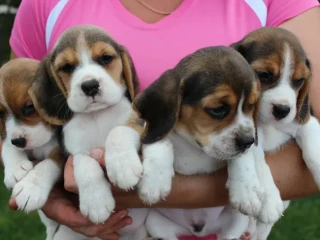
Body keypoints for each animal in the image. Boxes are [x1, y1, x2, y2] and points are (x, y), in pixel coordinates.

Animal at [0, 59, 65, 239]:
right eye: (0, 114)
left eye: (29, 107)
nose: (19, 141)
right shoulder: (8, 136)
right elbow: (7, 145)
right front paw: (15, 168)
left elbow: (47, 164)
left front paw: (31, 187)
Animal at [27, 24, 149, 231]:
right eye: (67, 67)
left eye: (105, 58)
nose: (90, 85)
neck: (96, 116)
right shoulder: (74, 149)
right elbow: (85, 165)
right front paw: (96, 201)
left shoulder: (137, 124)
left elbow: (117, 131)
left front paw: (122, 167)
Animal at [106, 45, 264, 240]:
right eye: (218, 109)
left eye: (251, 106)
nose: (248, 141)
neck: (195, 146)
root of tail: (199, 229)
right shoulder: (151, 130)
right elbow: (161, 142)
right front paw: (155, 181)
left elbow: (242, 157)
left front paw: (247, 191)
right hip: (157, 225)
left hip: (235, 224)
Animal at [230, 26, 320, 240]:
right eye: (263, 75)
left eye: (299, 81)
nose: (282, 109)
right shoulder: (251, 136)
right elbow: (260, 161)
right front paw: (269, 200)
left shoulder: (307, 121)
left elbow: (313, 152)